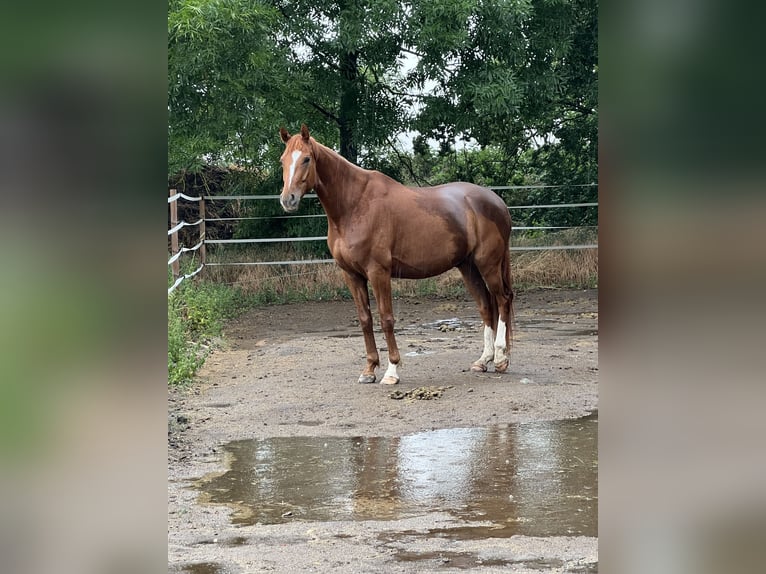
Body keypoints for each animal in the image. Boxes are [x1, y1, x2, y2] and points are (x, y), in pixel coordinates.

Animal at [280, 126, 512, 388]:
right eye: (282, 160)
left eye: (306, 159)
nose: (288, 199)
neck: (355, 205)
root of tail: (498, 202)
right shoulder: (351, 275)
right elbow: (365, 319)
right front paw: (369, 370)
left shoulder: (378, 272)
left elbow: (386, 318)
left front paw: (391, 372)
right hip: (468, 266)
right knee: (486, 306)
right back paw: (483, 360)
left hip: (488, 264)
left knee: (502, 300)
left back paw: (501, 358)